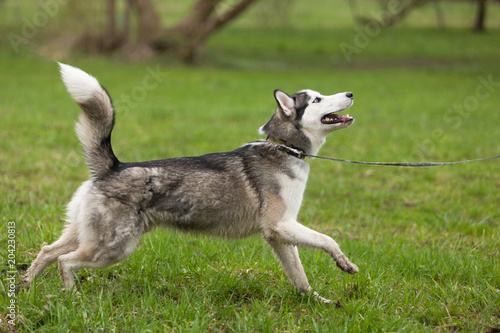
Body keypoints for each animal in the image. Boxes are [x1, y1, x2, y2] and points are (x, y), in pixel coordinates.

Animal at [20, 63, 356, 302]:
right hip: (113, 248)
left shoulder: (279, 235)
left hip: (85, 235)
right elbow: (329, 240)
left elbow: (300, 278)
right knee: (65, 261)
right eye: (317, 99)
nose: (351, 94)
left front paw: (317, 301)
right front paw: (344, 264)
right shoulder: (281, 225)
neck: (284, 148)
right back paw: (71, 297)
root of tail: (113, 167)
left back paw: (25, 286)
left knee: (48, 251)